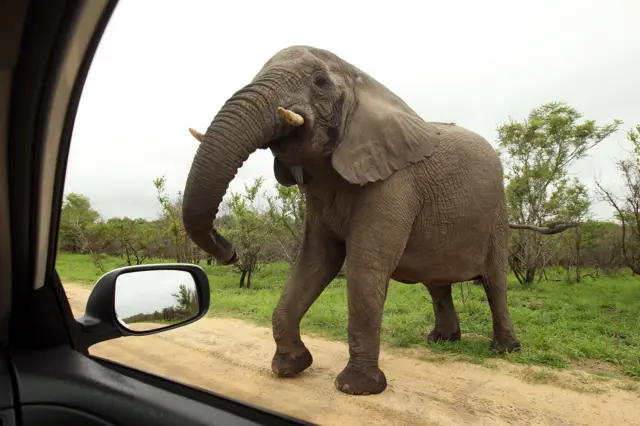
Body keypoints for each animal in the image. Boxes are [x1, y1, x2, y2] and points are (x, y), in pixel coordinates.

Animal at [182, 45, 576, 394]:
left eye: (320, 82)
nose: (230, 250)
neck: (363, 81)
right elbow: (315, 262)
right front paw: (290, 367)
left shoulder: (394, 183)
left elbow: (364, 265)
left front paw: (356, 388)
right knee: (438, 283)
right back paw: (441, 341)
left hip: (496, 212)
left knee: (495, 282)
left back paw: (504, 349)